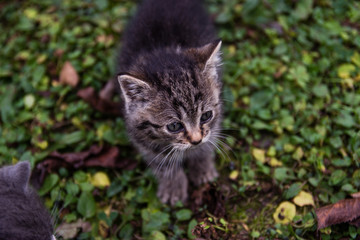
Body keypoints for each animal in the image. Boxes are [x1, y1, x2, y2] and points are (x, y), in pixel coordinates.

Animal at [116, 0, 222, 206]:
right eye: (174, 126)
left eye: (206, 116)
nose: (196, 140)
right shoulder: (141, 138)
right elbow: (162, 162)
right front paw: (173, 186)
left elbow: (207, 142)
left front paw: (202, 167)